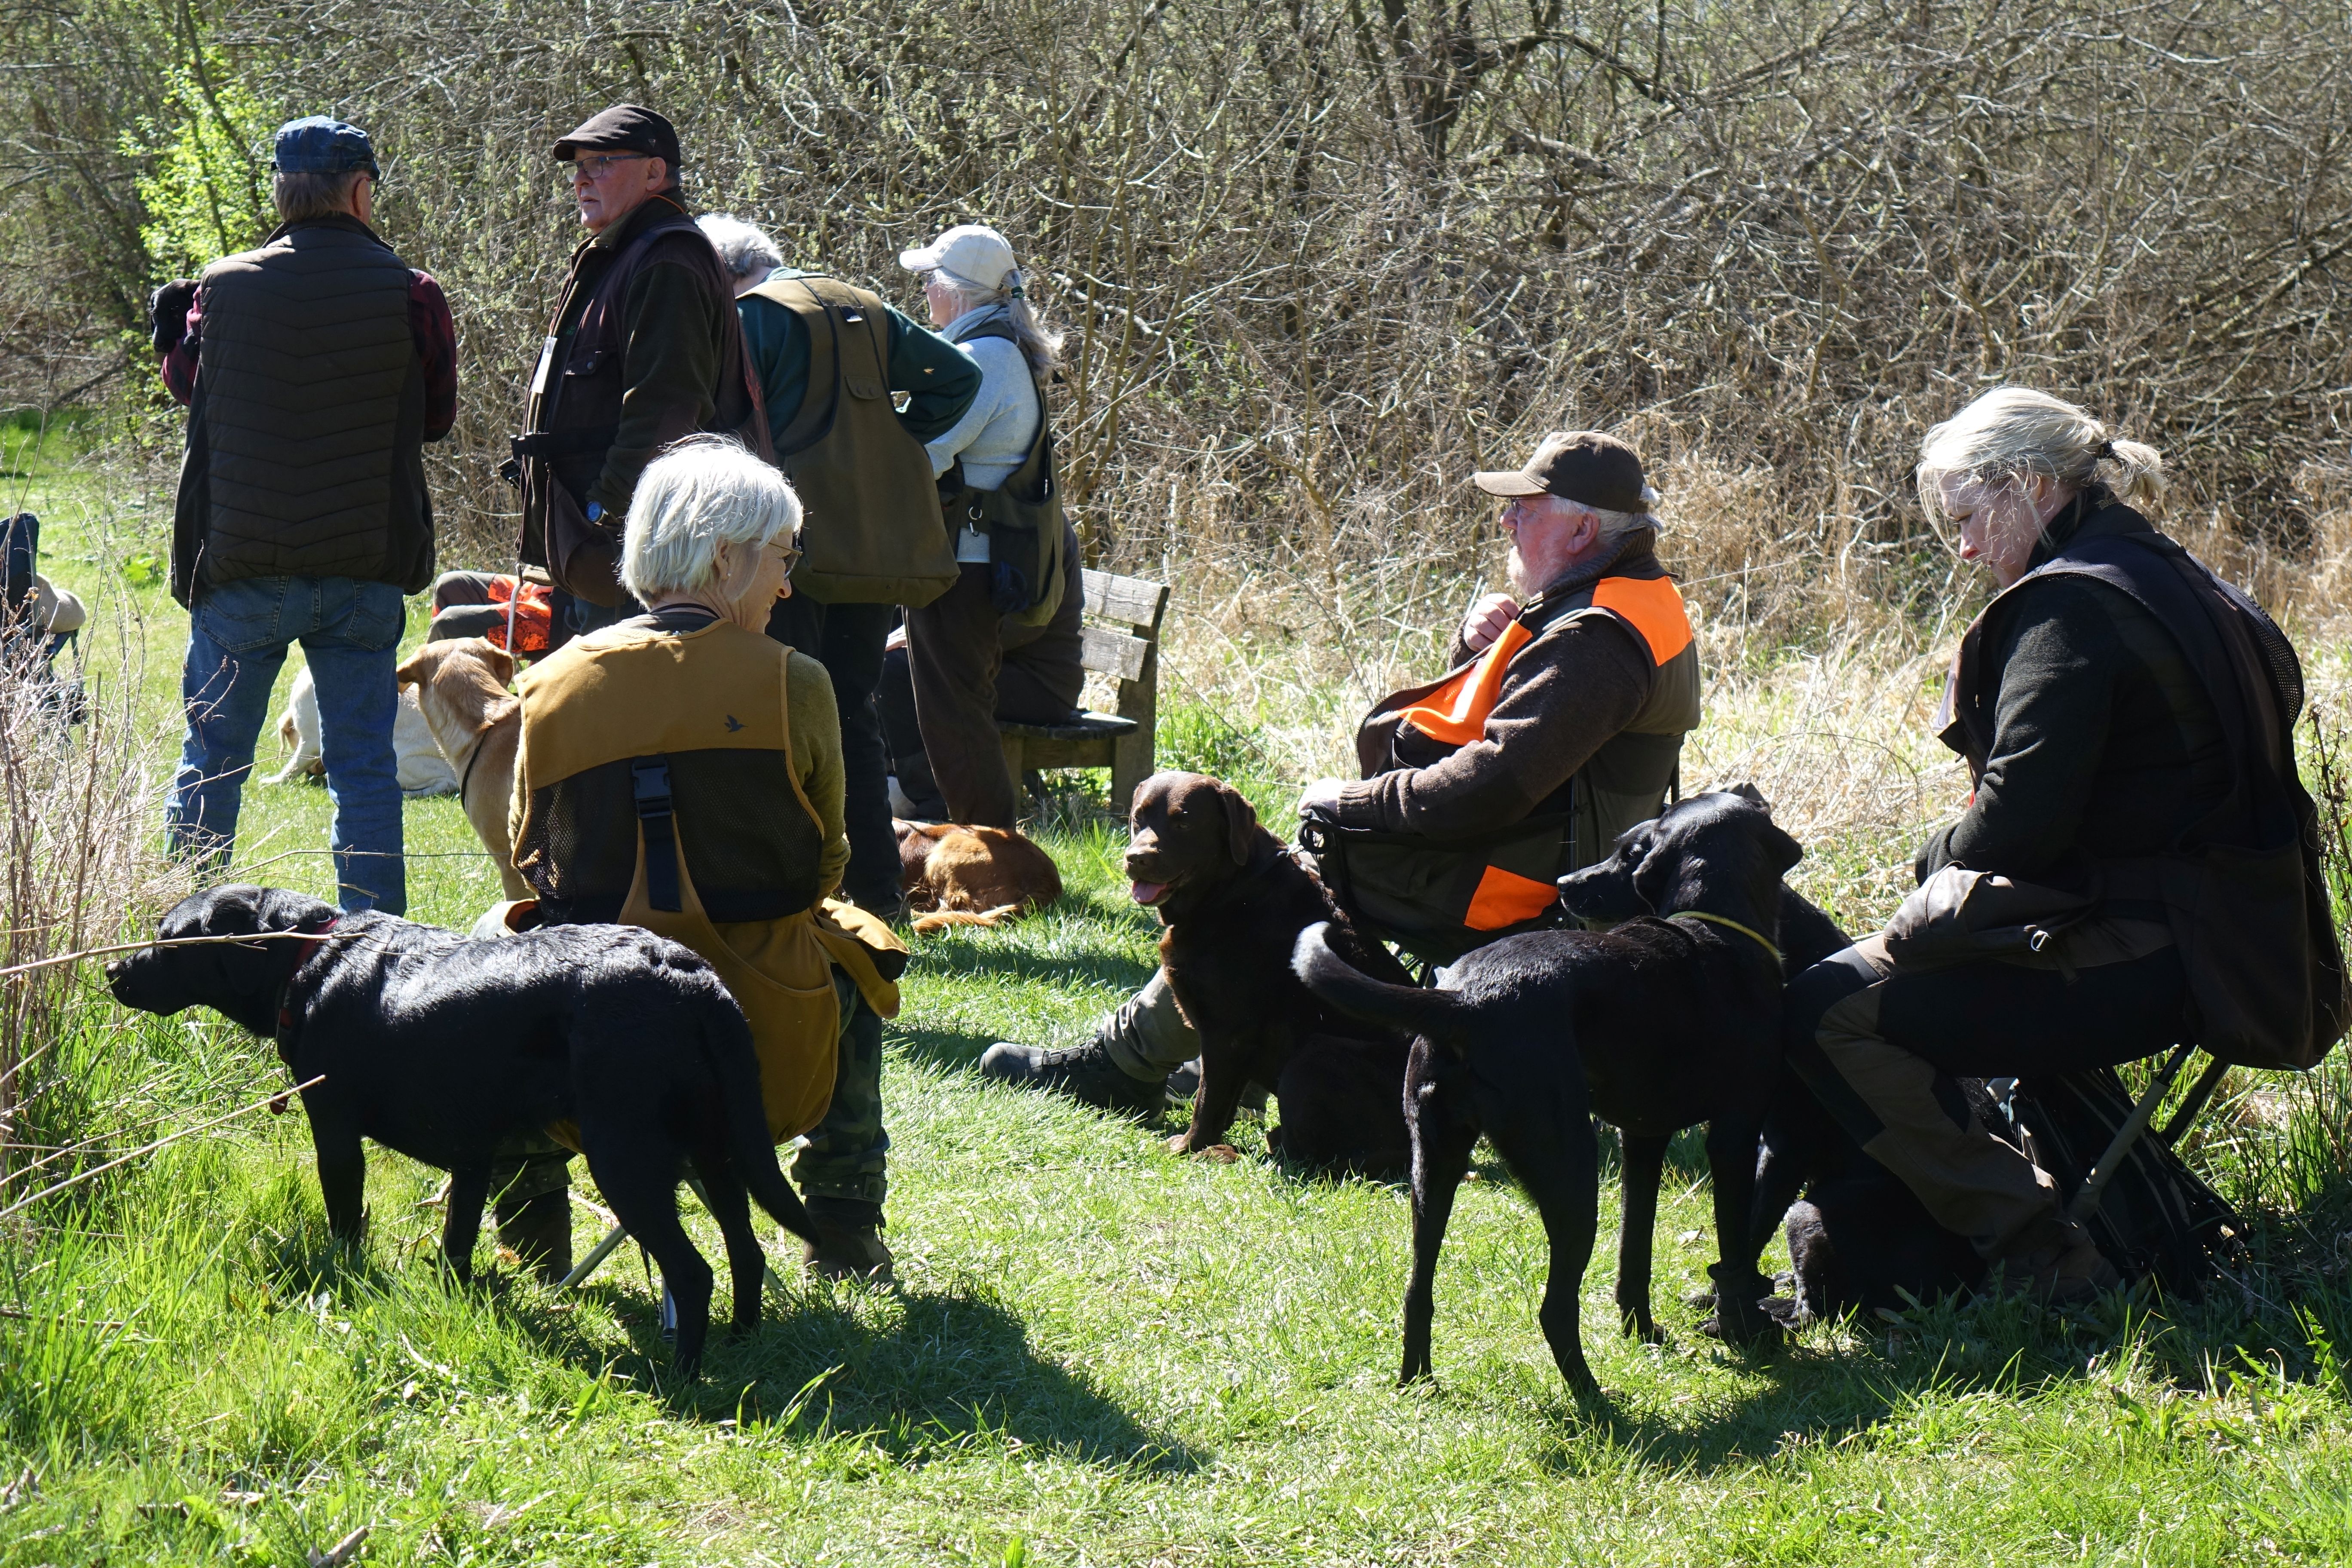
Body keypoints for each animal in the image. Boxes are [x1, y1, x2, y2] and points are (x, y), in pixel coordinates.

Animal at [105, 885, 821, 1379]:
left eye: (169, 940)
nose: (113, 972)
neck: (307, 955)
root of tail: (690, 976)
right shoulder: (474, 1157)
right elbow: (457, 1240)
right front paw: (453, 1301)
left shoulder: (335, 1132)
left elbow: (346, 1220)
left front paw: (346, 1277)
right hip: (718, 1153)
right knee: (746, 1251)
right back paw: (743, 1344)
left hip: (627, 1161)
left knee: (694, 1272)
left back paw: (683, 1376)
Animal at [1123, 770, 1416, 1172]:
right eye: (1139, 819)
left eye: (1183, 823)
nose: (1136, 859)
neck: (1231, 891)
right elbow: (1223, 1104)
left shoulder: (1226, 1033)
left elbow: (1207, 1101)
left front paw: (1189, 1148)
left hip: (1315, 1054)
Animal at [1293, 787, 1802, 1398]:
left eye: (1632, 853)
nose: (1564, 883)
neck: (1717, 928)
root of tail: (1462, 1001)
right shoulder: (1735, 1135)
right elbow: (1734, 1250)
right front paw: (1747, 1332)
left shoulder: (1643, 1140)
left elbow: (1635, 1252)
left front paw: (1643, 1331)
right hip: (1571, 1173)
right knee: (1554, 1309)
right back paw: (1596, 1400)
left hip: (1433, 1168)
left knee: (1418, 1289)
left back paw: (1419, 1381)